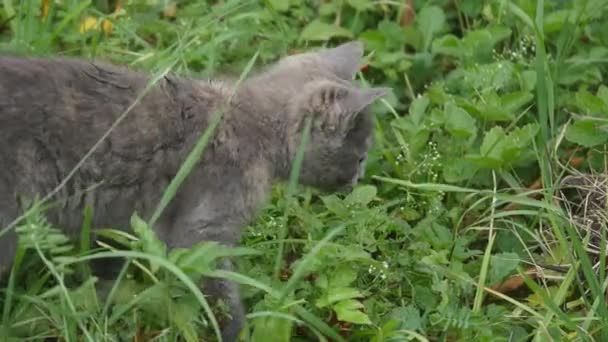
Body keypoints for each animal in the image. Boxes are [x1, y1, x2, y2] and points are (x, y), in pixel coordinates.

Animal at [0, 41, 390, 340]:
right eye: (360, 157)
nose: (358, 180)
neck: (252, 127)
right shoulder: (203, 230)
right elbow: (218, 294)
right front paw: (235, 333)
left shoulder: (110, 221)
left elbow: (106, 266)